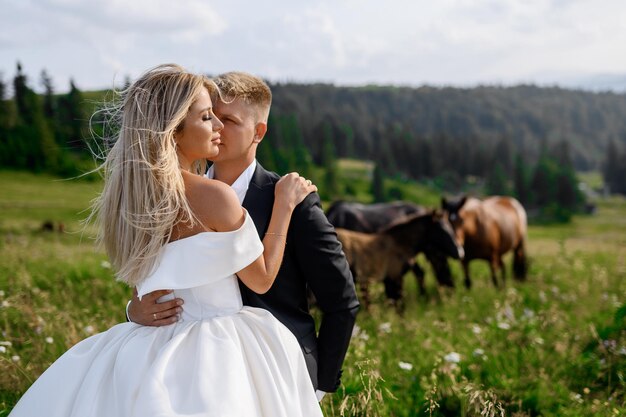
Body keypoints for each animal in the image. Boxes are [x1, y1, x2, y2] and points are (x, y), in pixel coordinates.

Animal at [336, 211, 464, 306]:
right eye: (442, 231)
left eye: (450, 227)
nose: (459, 253)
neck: (399, 243)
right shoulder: (395, 278)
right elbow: (400, 307)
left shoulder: (389, 281)